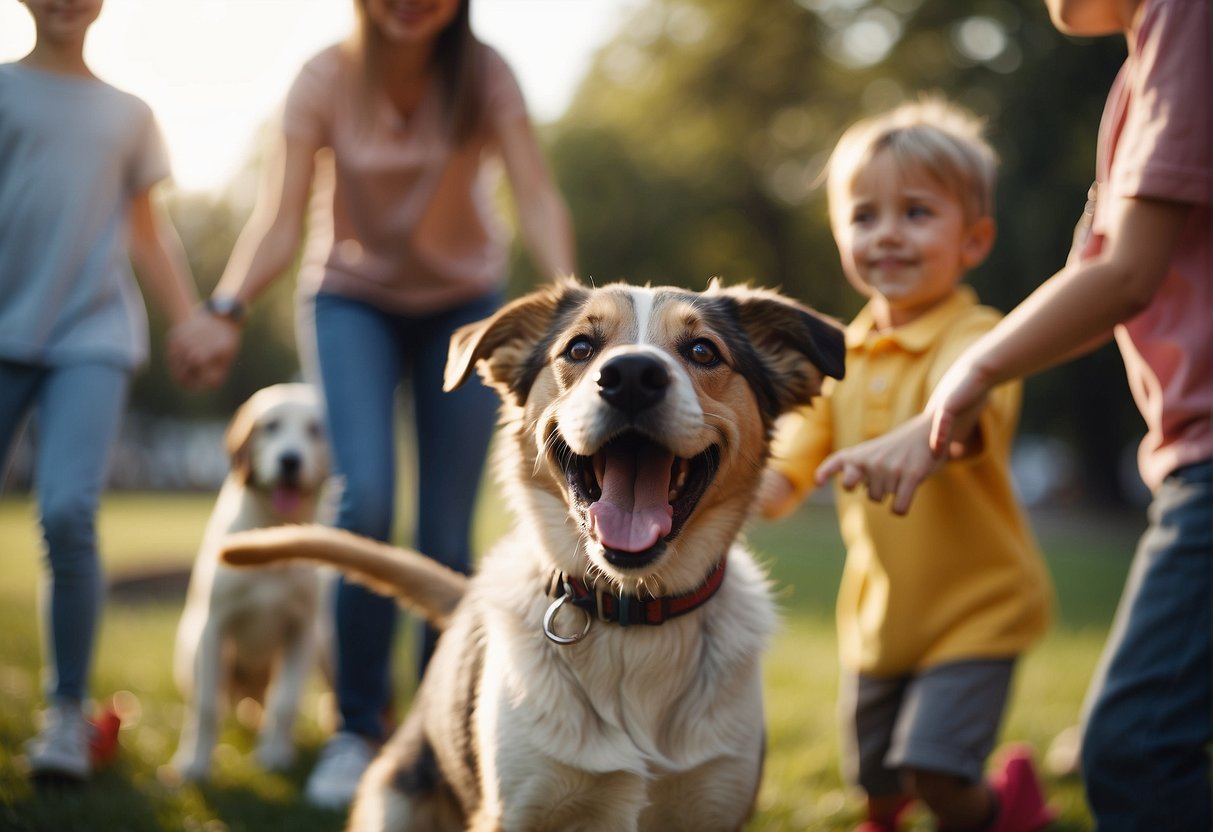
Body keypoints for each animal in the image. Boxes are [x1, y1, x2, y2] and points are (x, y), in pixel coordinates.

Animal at [169, 380, 332, 785]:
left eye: (315, 430)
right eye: (270, 426)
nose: (290, 460)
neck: (272, 537)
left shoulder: (301, 629)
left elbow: (285, 703)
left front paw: (274, 755)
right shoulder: (213, 627)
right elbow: (206, 706)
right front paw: (195, 765)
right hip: (190, 648)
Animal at [220, 281, 844, 832]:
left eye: (702, 351)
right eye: (580, 348)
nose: (632, 377)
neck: (632, 618)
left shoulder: (715, 804)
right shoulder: (518, 809)